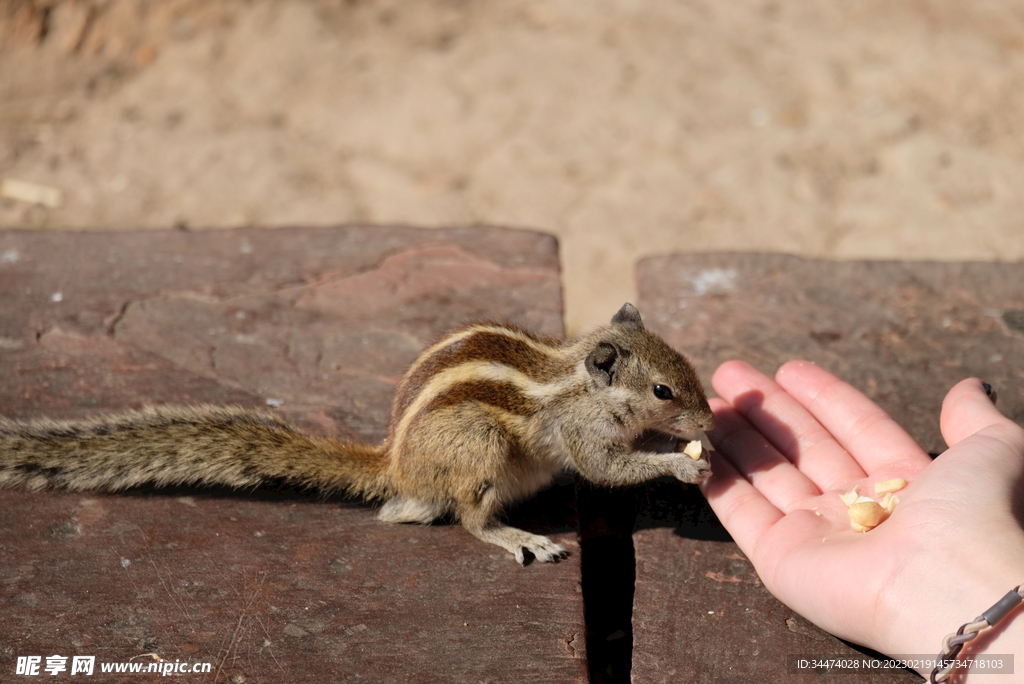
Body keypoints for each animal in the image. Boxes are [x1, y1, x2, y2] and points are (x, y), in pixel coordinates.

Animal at [0, 301, 712, 565]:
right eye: (663, 391)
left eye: (689, 364)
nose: (708, 421)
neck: (578, 380)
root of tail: (393, 464)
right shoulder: (581, 432)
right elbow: (609, 468)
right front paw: (681, 461)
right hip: (479, 445)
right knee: (466, 517)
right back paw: (519, 537)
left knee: (405, 513)